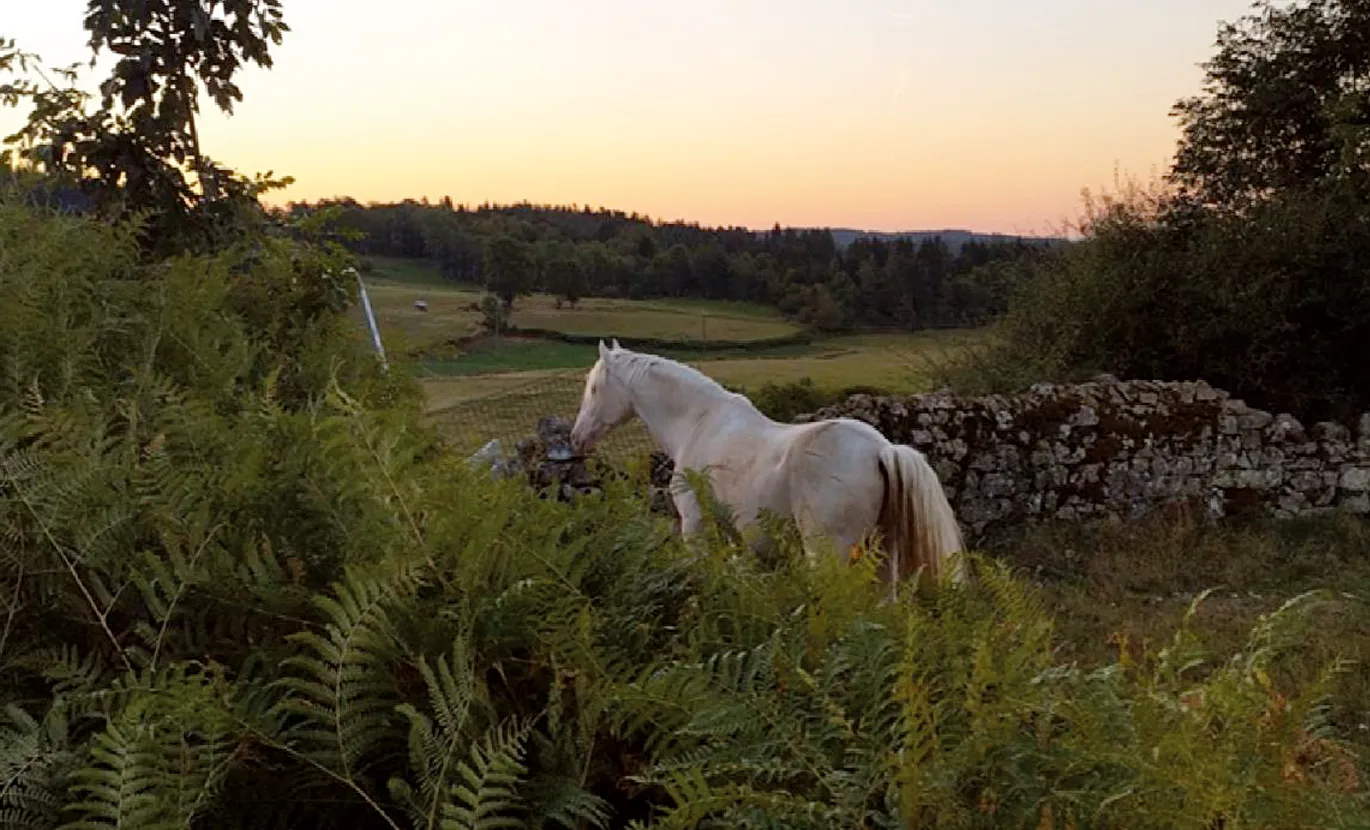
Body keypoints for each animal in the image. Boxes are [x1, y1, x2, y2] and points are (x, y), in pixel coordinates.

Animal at [567, 339, 964, 597]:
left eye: (594, 388)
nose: (576, 438)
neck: (699, 421)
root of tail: (881, 449)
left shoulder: (694, 523)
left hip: (828, 554)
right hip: (880, 559)